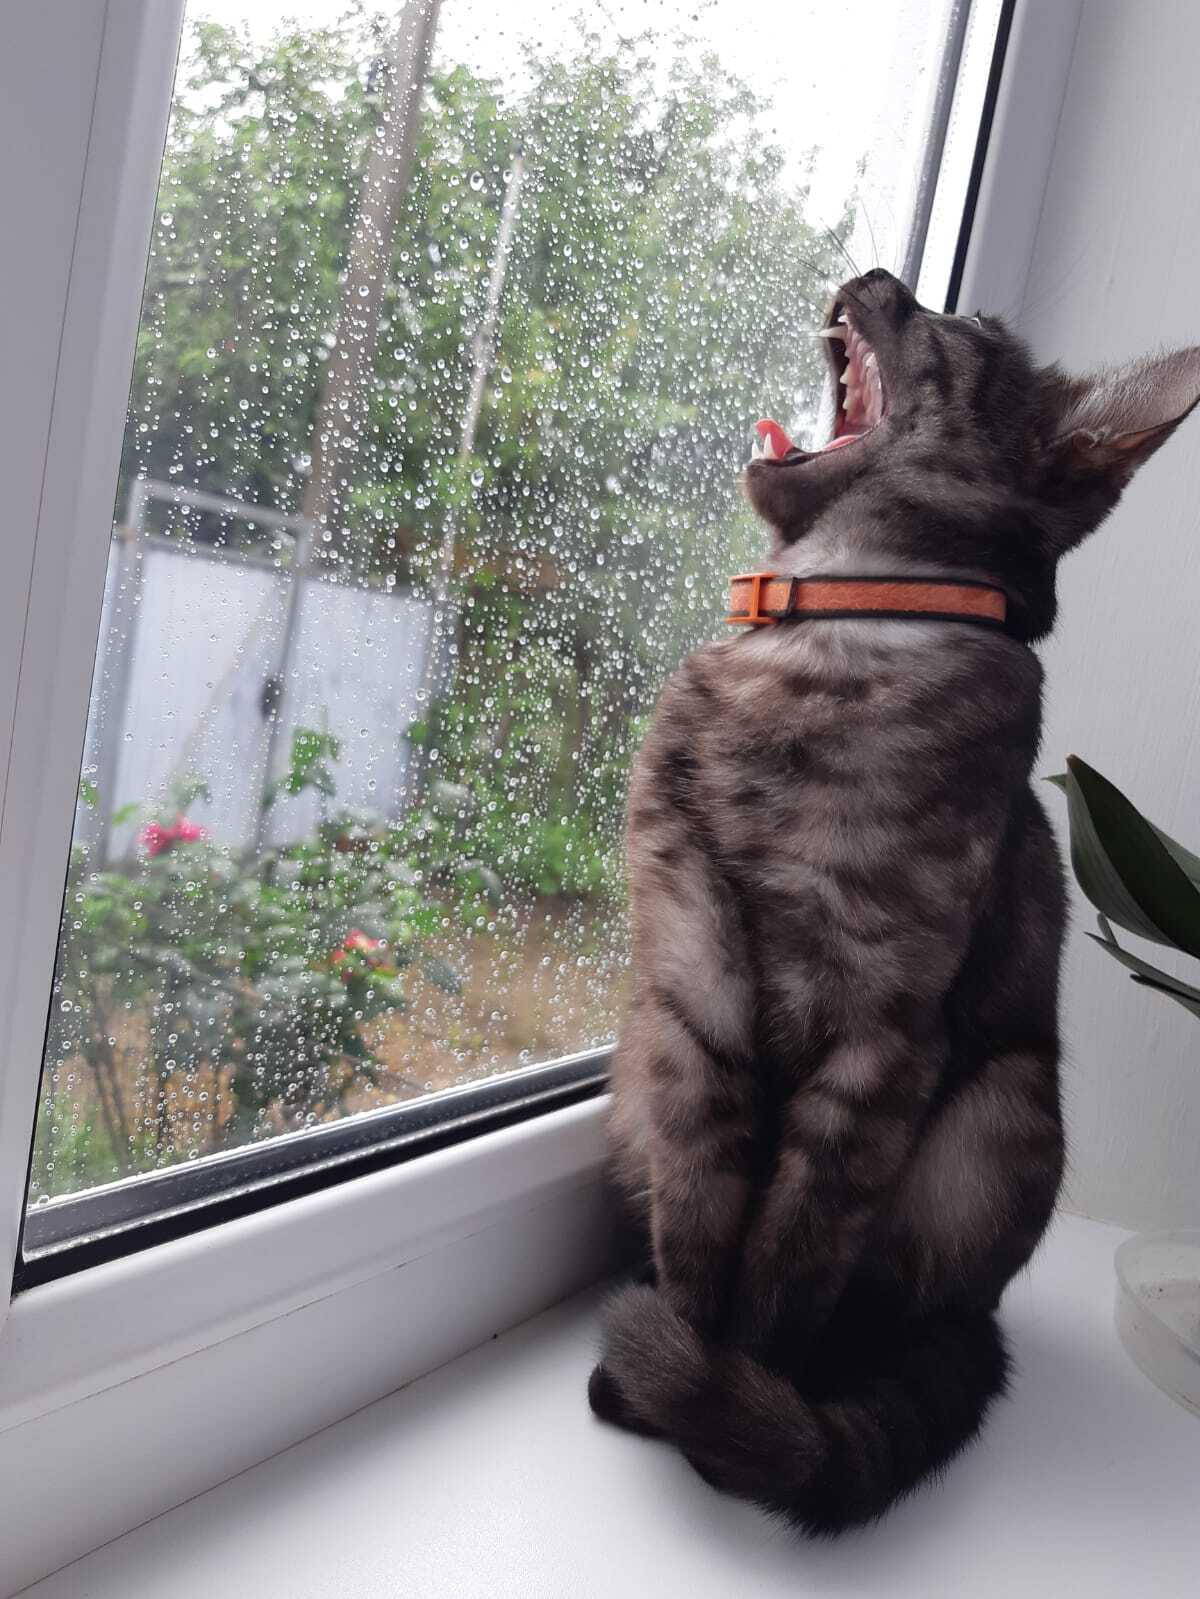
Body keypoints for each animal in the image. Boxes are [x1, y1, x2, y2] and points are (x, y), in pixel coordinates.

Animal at [588, 267, 1200, 1533]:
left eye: (958, 331)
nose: (883, 278)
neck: (828, 638)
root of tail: (983, 1328)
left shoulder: (881, 1036)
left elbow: (789, 1257)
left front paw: (733, 1410)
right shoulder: (691, 980)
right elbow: (701, 1214)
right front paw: (677, 1368)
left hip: (1002, 1106)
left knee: (885, 1316)